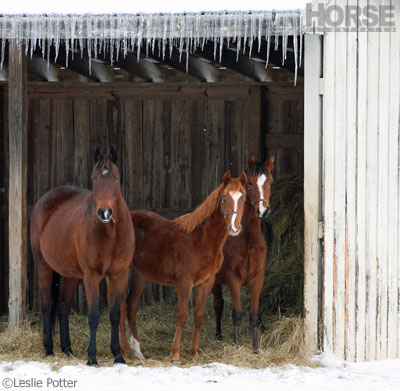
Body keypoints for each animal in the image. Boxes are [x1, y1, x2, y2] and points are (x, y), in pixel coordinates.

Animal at [30, 145, 134, 366]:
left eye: (116, 179)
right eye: (94, 179)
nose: (105, 213)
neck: (110, 235)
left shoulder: (119, 275)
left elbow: (114, 315)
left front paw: (118, 356)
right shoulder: (91, 276)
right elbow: (93, 316)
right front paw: (92, 358)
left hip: (71, 274)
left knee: (62, 305)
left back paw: (67, 349)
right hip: (44, 267)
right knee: (48, 305)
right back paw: (49, 349)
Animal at [119, 172, 247, 364]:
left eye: (243, 199)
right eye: (224, 199)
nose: (234, 227)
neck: (201, 240)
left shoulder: (206, 283)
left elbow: (199, 316)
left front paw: (194, 353)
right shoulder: (185, 283)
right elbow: (182, 315)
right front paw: (176, 355)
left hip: (140, 274)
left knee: (131, 305)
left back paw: (138, 352)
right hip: (122, 271)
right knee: (119, 307)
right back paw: (124, 351)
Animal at [212, 155, 276, 352]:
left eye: (270, 182)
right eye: (250, 183)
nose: (263, 211)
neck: (248, 239)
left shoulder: (257, 278)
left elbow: (253, 314)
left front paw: (255, 348)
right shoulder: (234, 279)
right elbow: (237, 314)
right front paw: (236, 345)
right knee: (218, 304)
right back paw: (218, 335)